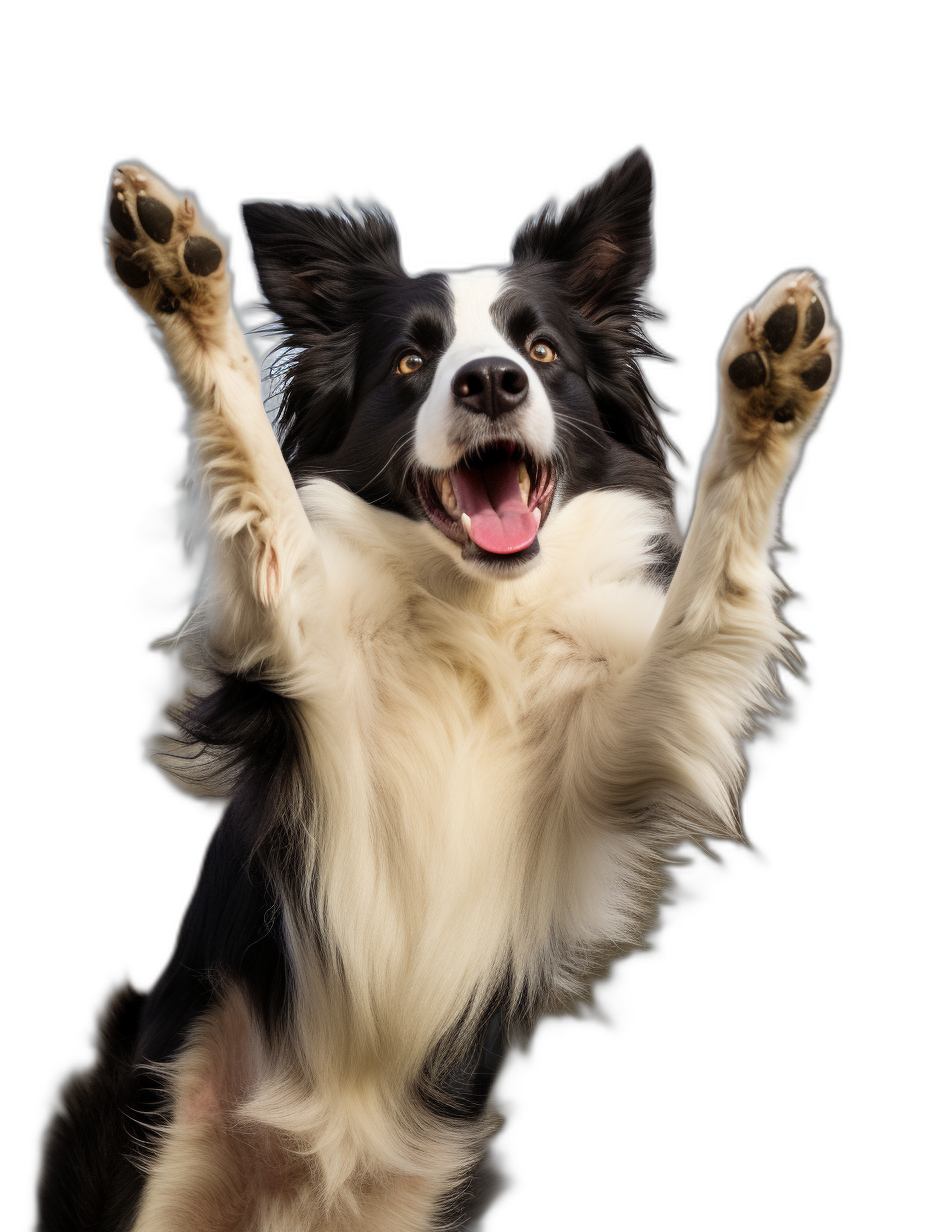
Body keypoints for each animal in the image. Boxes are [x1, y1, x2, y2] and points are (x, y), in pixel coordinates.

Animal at [39, 149, 838, 1227]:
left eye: (540, 350)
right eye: (411, 364)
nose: (491, 380)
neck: (474, 614)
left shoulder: (632, 733)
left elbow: (709, 599)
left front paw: (771, 389)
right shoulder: (290, 641)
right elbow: (263, 484)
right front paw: (182, 277)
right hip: (155, 1140)